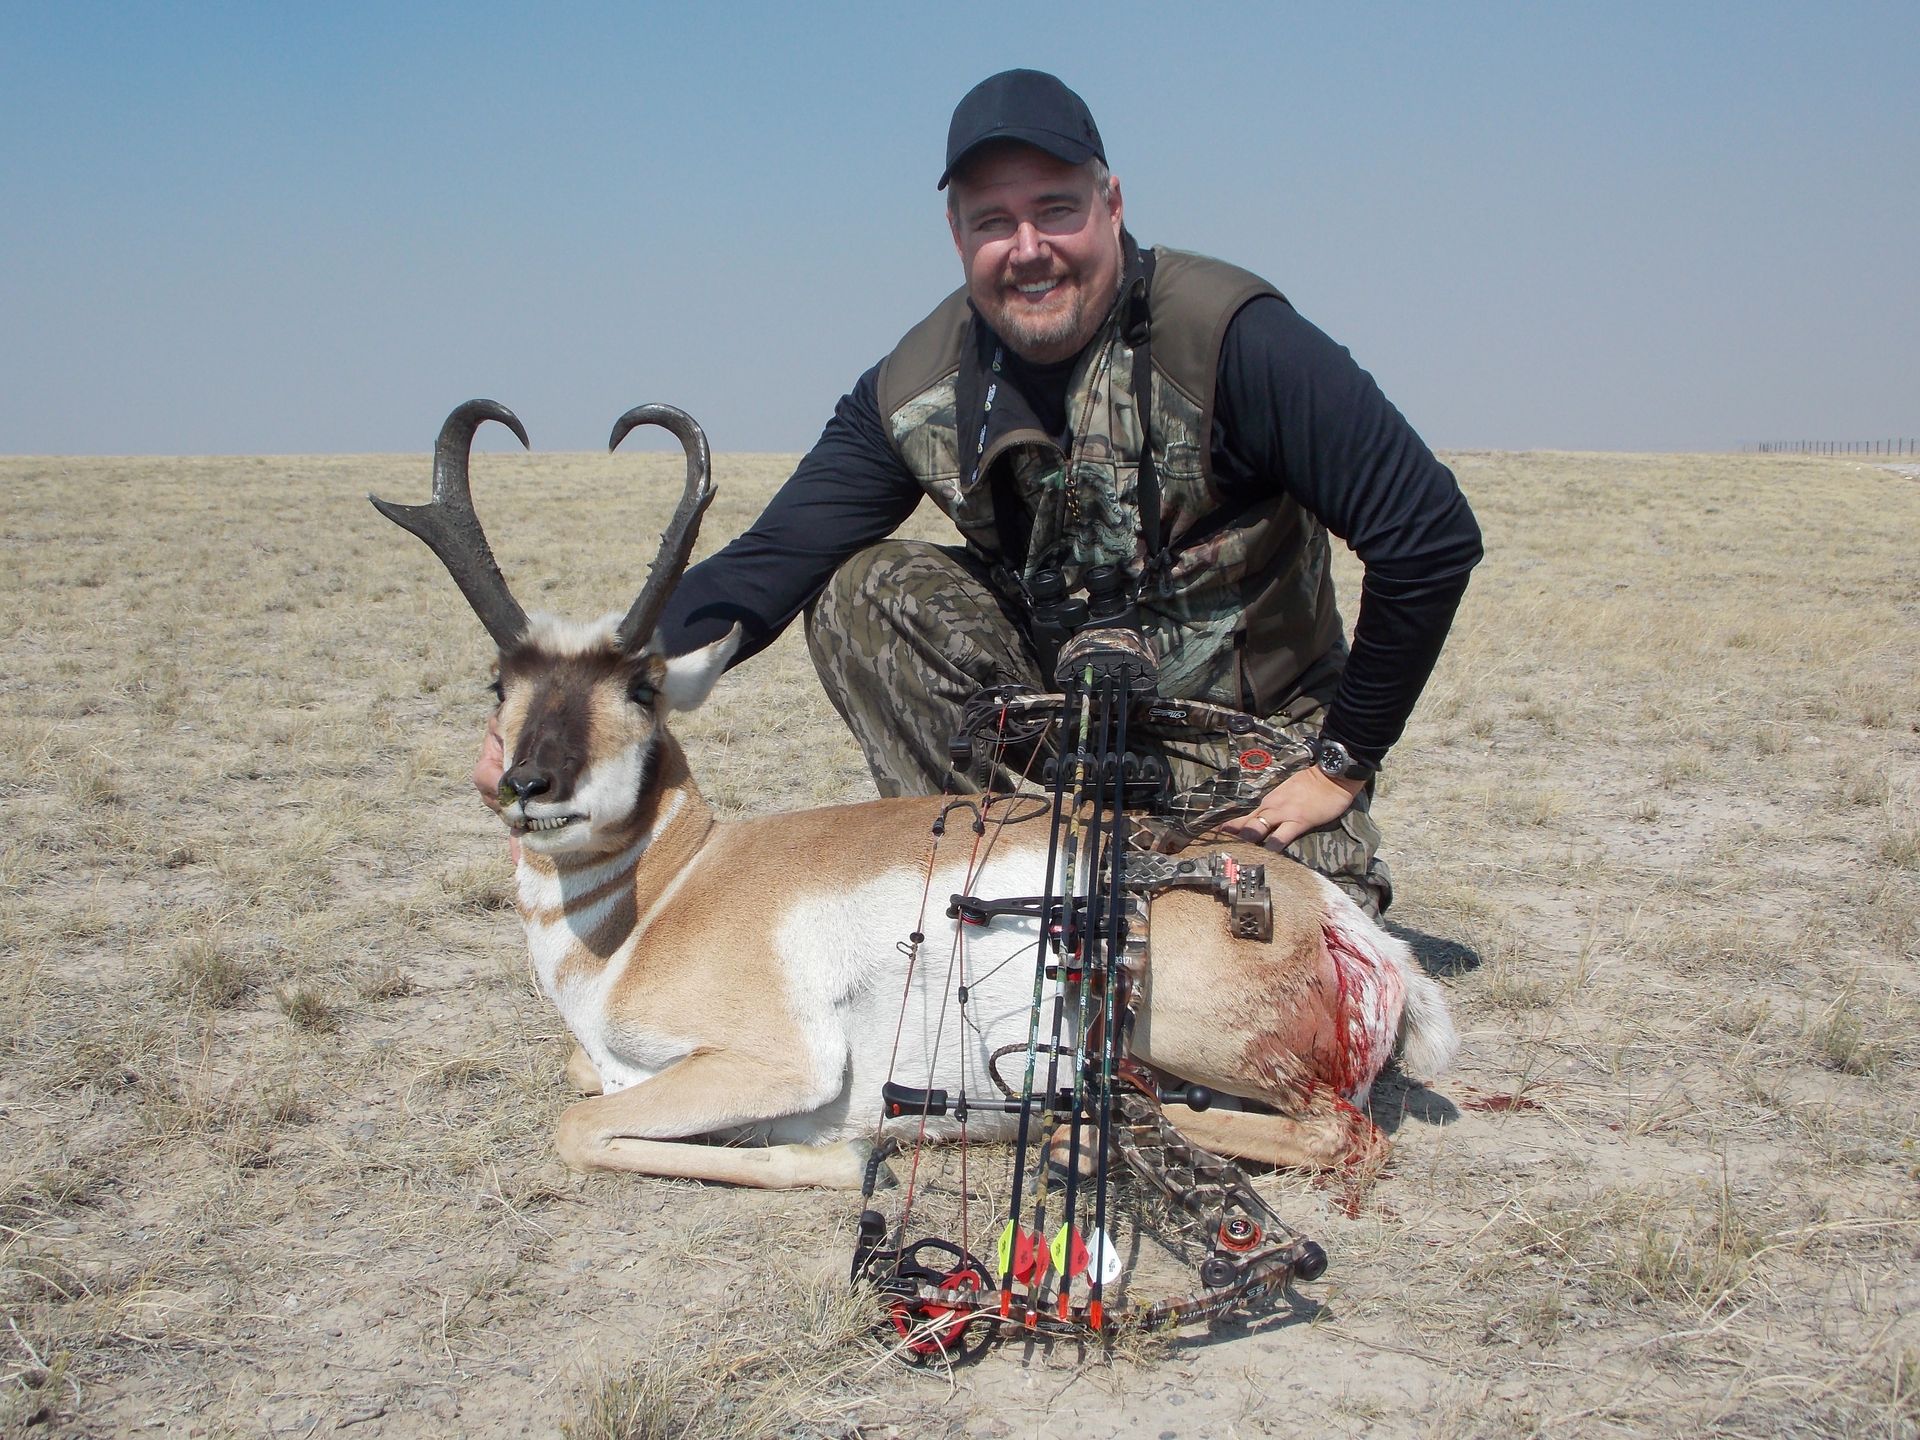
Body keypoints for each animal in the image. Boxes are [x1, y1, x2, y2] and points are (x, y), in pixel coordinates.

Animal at [373, 400, 1458, 1190]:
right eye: (498, 686)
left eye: (639, 688)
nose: (530, 785)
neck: (670, 892)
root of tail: (1339, 919)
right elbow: (577, 1084)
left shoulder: (772, 1062)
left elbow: (577, 1123)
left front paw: (839, 1153)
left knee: (1342, 1136)